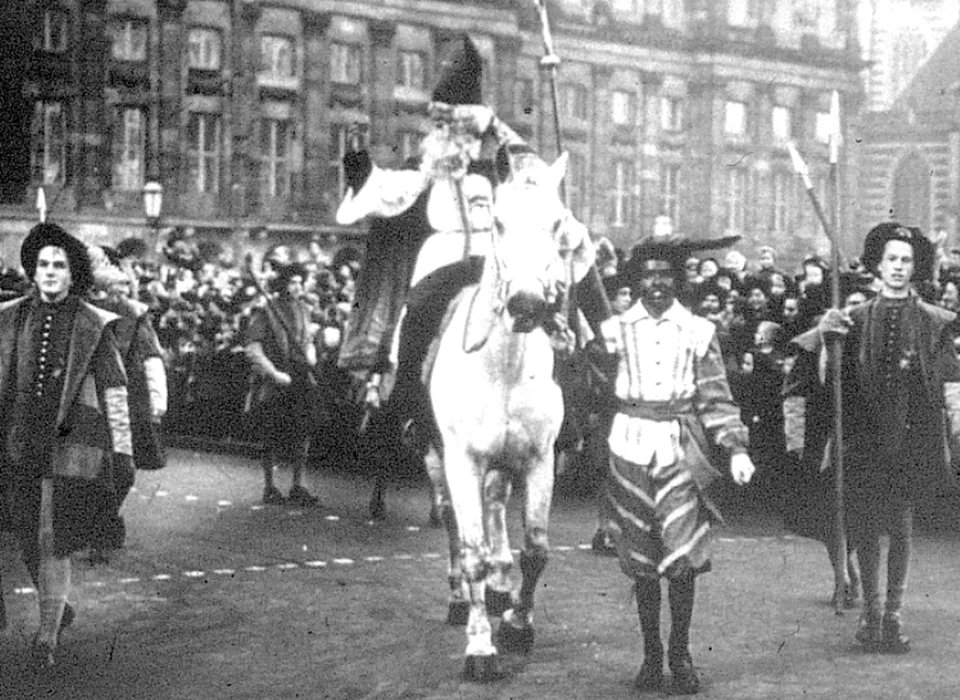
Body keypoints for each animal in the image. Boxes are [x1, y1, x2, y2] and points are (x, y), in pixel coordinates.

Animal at [422, 150, 576, 680]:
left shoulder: (539, 460)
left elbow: (536, 551)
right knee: (453, 521)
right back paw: (459, 597)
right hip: (437, 459)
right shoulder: (463, 461)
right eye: (499, 223)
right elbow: (471, 553)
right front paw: (481, 647)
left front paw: (517, 623)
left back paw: (500, 586)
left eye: (557, 223)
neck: (504, 366)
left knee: (494, 508)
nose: (525, 304)